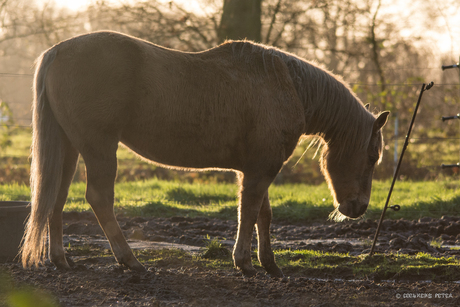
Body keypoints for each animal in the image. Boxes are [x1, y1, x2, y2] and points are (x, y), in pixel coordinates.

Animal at [21, 31, 388, 280]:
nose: (358, 208)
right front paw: (244, 263)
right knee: (99, 199)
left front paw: (270, 264)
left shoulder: (257, 169)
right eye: (372, 156)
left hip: (69, 148)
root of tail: (58, 50)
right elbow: (249, 213)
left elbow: (264, 215)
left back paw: (61, 260)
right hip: (99, 149)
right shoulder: (260, 171)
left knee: (55, 197)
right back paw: (130, 261)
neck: (287, 85)